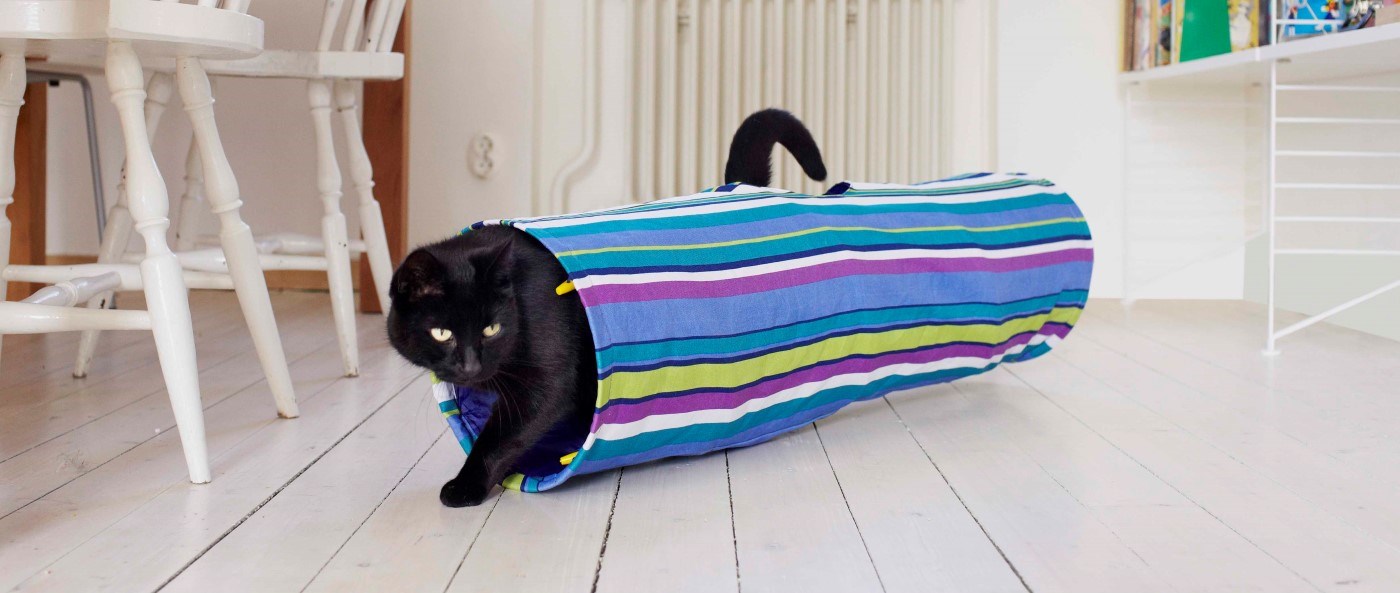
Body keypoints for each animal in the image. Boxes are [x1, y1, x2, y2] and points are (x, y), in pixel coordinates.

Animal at [388, 108, 827, 507]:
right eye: (441, 332)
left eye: (491, 329)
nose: (470, 366)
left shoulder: (546, 378)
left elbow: (501, 436)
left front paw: (466, 486)